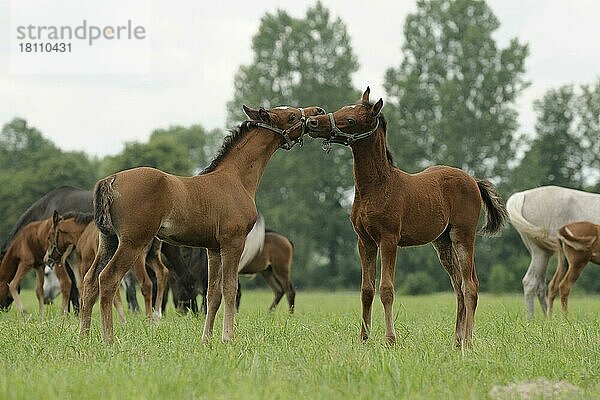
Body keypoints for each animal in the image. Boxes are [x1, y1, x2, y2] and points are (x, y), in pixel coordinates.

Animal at [80, 104, 326, 342]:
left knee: (90, 280)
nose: (318, 112)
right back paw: (109, 339)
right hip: (132, 243)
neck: (236, 179)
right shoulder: (233, 243)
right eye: (291, 115)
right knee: (108, 279)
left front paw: (206, 338)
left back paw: (84, 337)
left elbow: (212, 293)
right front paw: (228, 337)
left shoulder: (213, 249)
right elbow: (229, 288)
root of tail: (110, 179)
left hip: (109, 241)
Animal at [304, 88, 506, 346]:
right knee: (458, 286)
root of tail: (473, 180)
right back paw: (456, 341)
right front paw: (364, 338)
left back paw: (468, 341)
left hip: (463, 235)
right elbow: (366, 290)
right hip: (442, 242)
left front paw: (390, 339)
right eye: (341, 109)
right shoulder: (364, 241)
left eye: (350, 120)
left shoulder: (389, 240)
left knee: (470, 286)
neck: (376, 187)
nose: (312, 122)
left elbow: (386, 289)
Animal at [506, 186, 600, 318]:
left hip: (546, 255)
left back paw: (547, 317)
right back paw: (532, 319)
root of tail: (523, 194)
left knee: (541, 285)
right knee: (532, 283)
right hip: (542, 253)